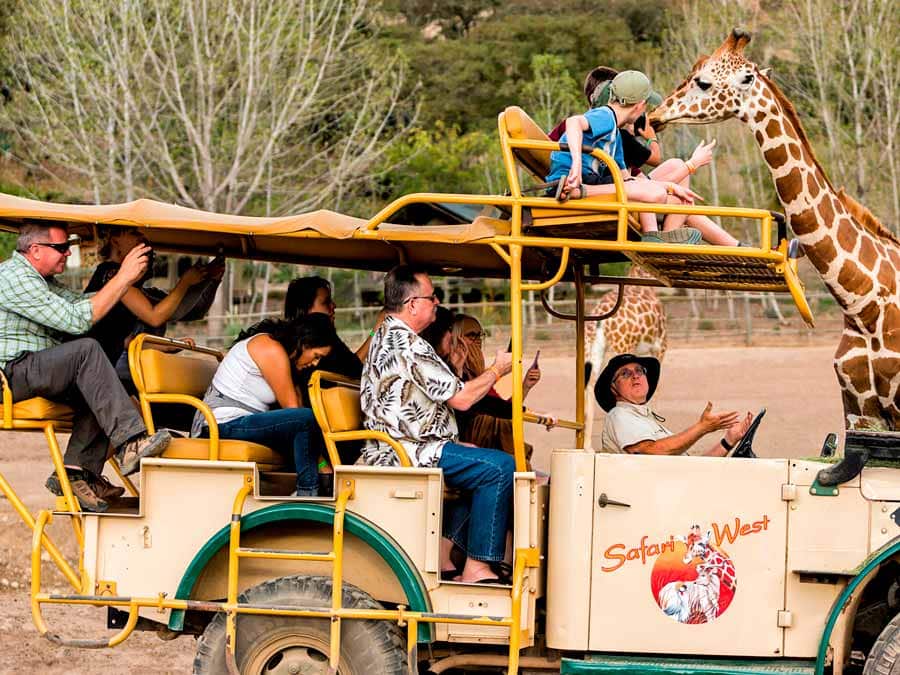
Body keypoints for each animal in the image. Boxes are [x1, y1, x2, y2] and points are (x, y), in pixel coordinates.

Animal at [584, 266, 668, 448]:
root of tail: (600, 313)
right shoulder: (660, 345)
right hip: (622, 344)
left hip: (593, 346)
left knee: (589, 384)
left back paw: (587, 446)